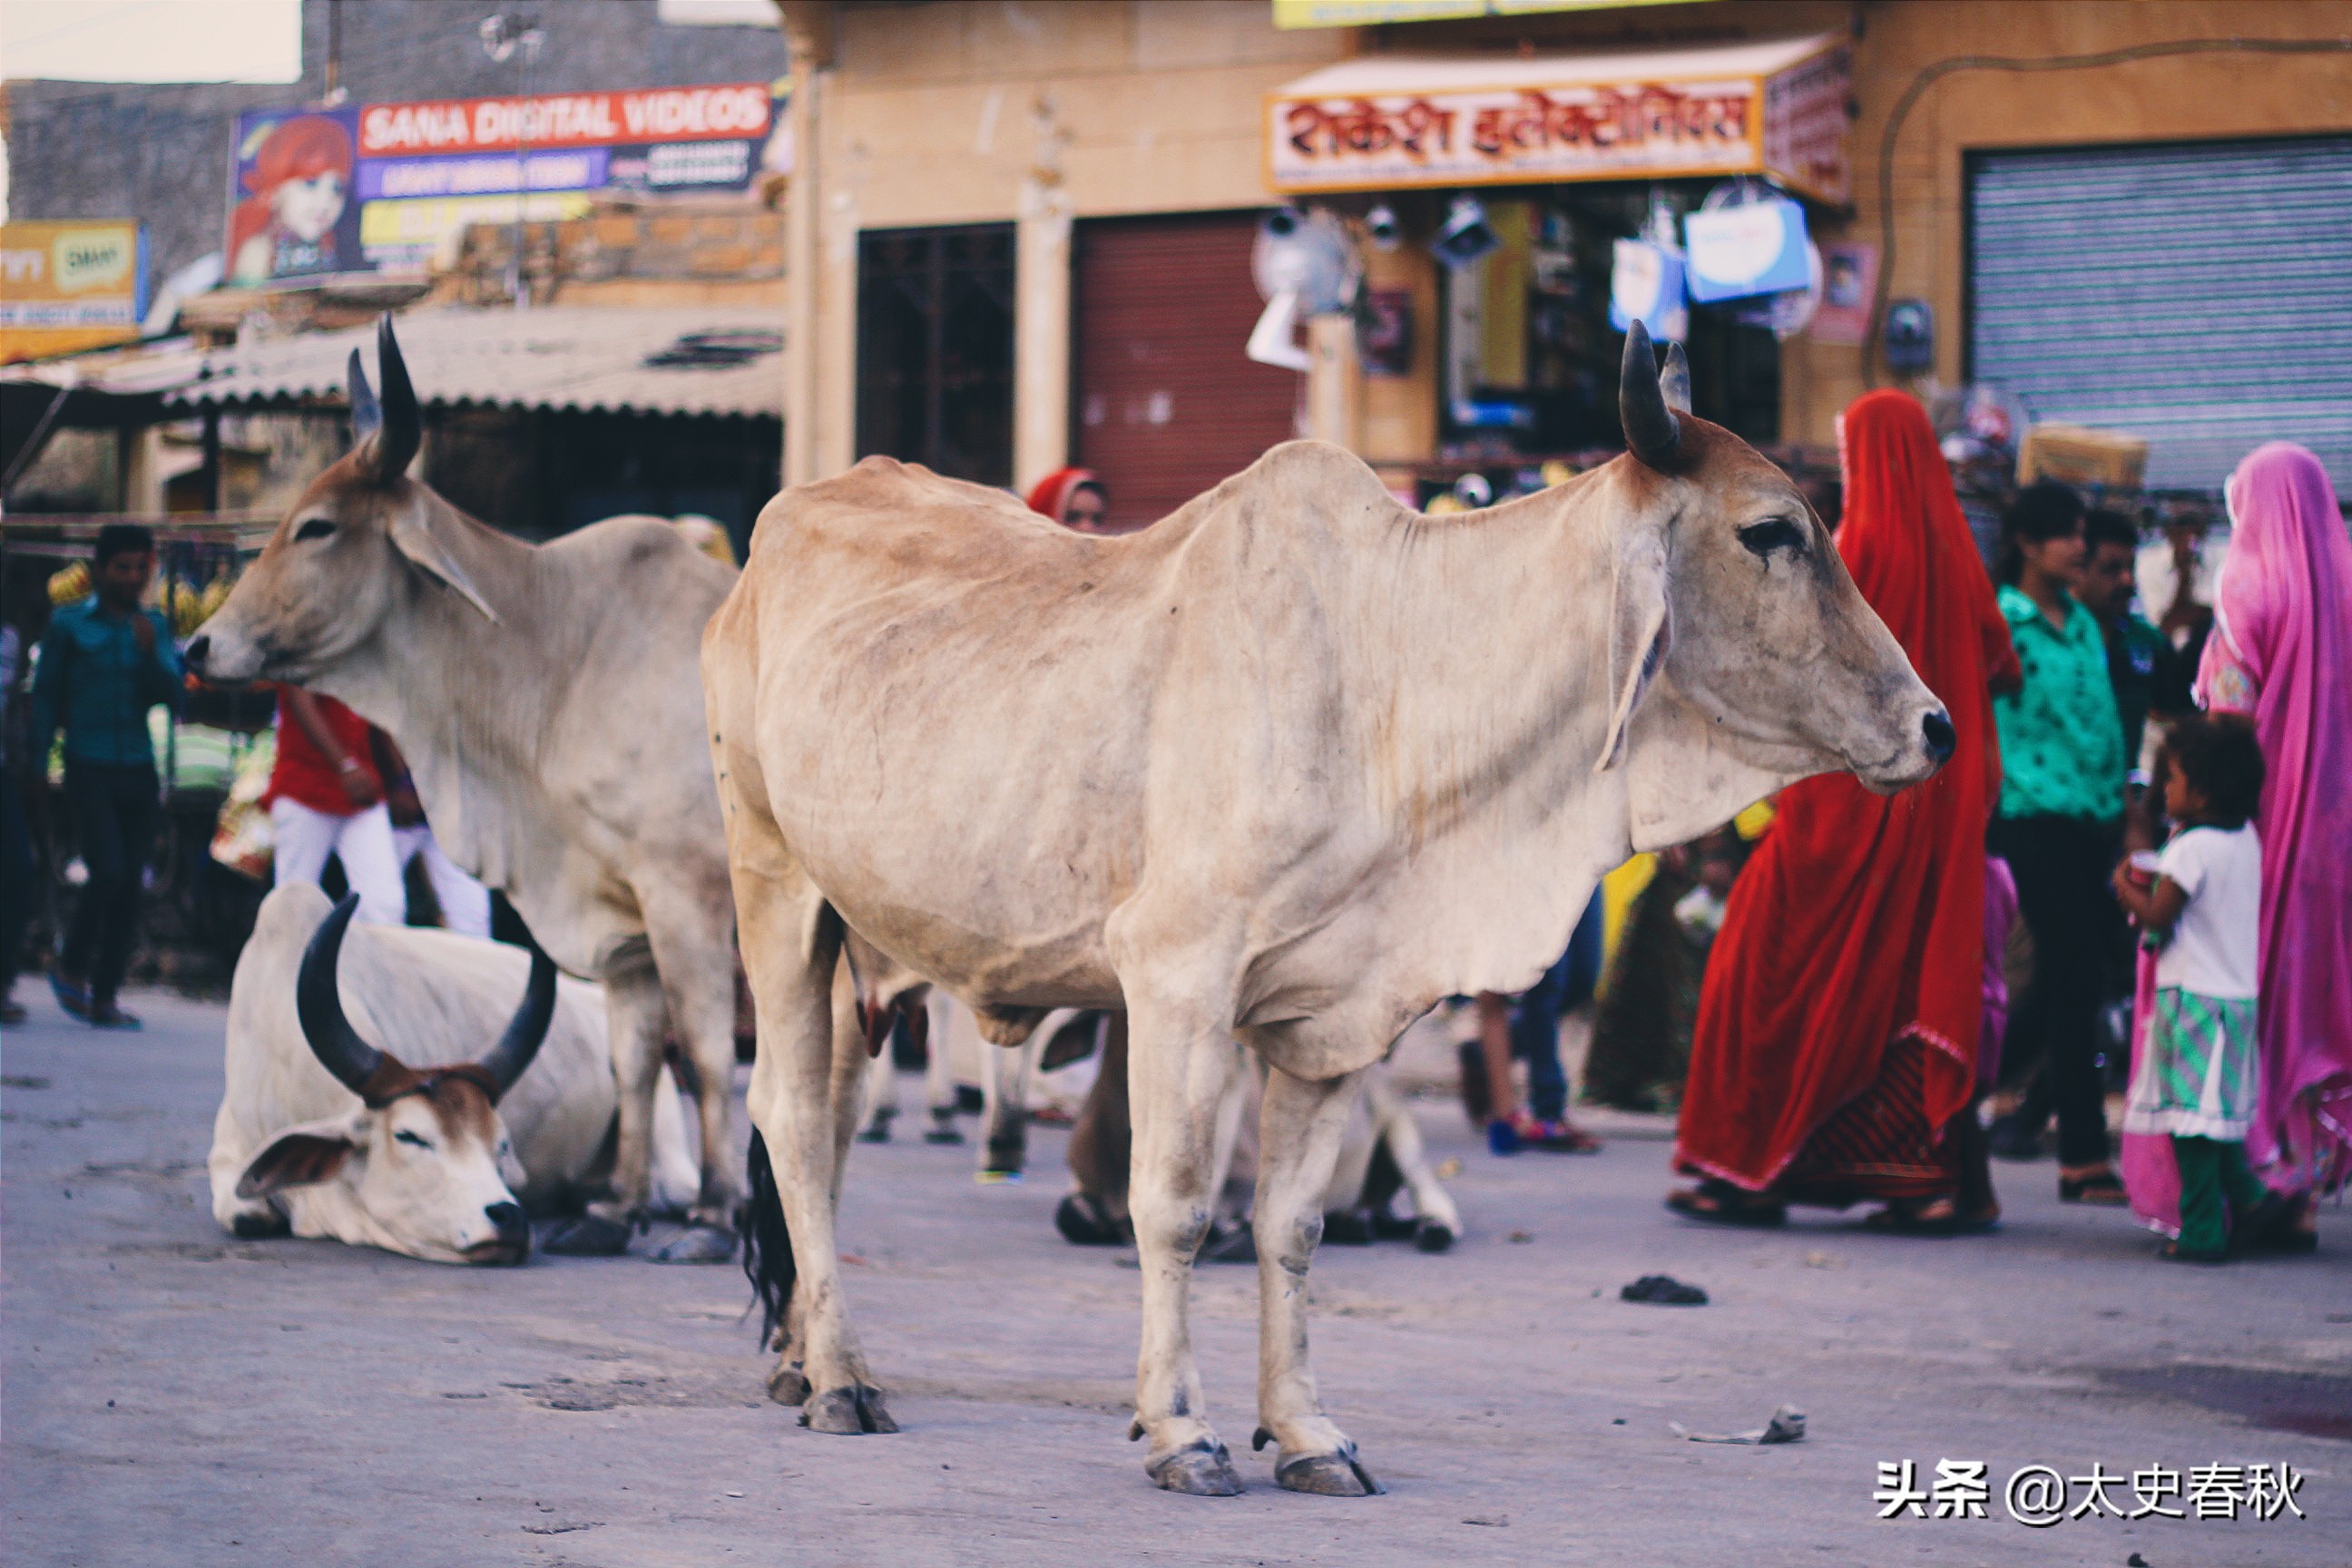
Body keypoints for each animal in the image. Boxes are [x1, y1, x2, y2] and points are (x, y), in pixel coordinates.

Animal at [705, 321, 1956, 1494]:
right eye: (1772, 532)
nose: (1936, 726)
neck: (1396, 676)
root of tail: (776, 533)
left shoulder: (1340, 1013)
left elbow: (1292, 1225)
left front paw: (1306, 1433)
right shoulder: (1176, 978)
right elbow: (1173, 1205)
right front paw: (1183, 1429)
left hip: (860, 939)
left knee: (831, 1125)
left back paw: (802, 1357)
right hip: (776, 887)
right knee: (792, 1119)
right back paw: (842, 1379)